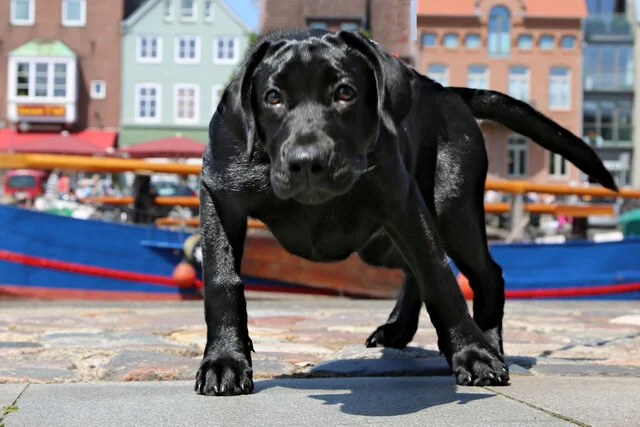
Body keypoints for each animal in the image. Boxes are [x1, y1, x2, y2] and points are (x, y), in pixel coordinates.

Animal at [194, 29, 618, 396]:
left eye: (345, 92)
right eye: (272, 97)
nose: (307, 162)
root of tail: (447, 93)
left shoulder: (400, 200)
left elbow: (440, 278)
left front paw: (474, 355)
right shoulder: (219, 195)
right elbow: (222, 280)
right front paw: (225, 361)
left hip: (451, 212)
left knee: (484, 274)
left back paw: (489, 342)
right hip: (383, 244)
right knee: (415, 271)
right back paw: (399, 329)